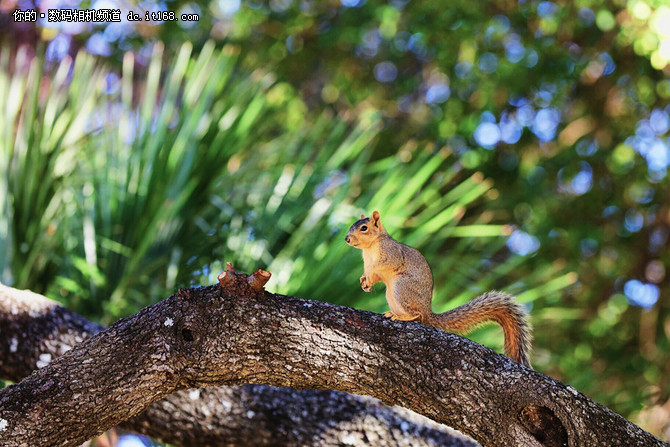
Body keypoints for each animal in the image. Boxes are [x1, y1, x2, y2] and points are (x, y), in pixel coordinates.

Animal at [350, 210, 532, 368]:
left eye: (364, 228)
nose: (347, 239)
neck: (370, 247)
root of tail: (427, 311)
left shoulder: (391, 254)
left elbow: (382, 265)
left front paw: (367, 277)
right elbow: (373, 275)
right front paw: (364, 281)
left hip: (400, 287)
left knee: (417, 315)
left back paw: (403, 316)